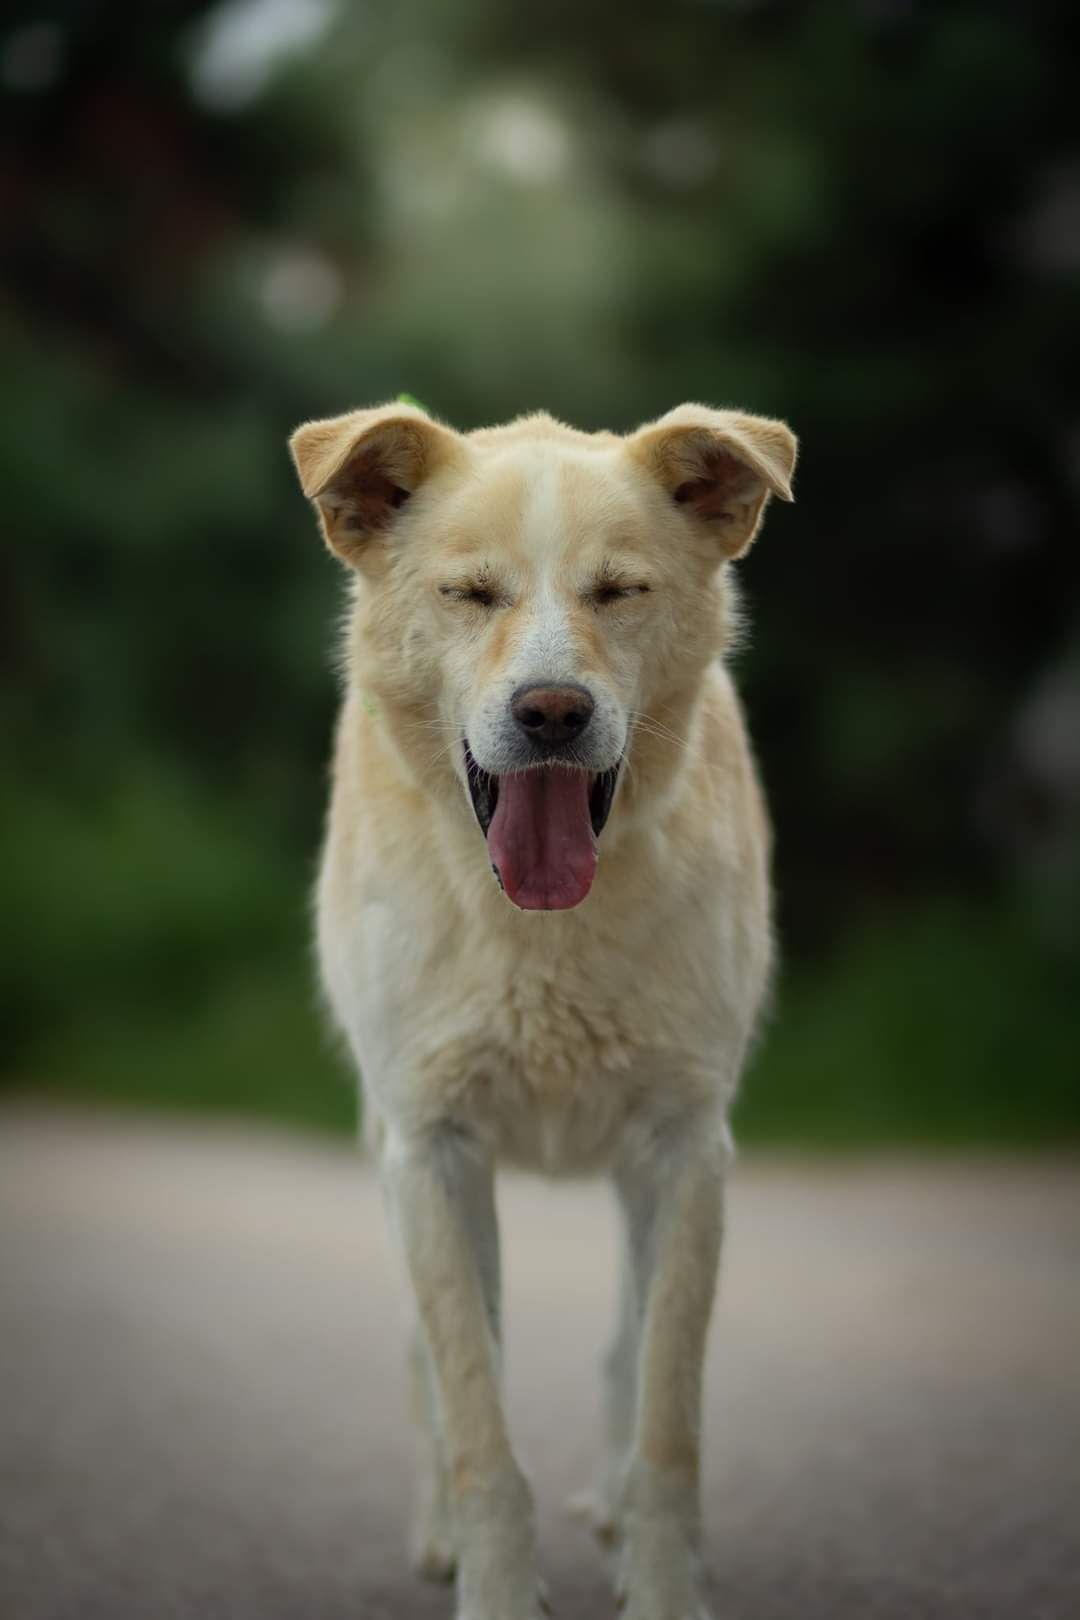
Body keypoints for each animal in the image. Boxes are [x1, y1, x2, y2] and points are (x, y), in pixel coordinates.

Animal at [291, 395, 799, 1620]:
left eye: (619, 590)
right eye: (472, 594)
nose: (553, 712)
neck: (543, 931)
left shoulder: (686, 1148)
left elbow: (667, 1409)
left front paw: (661, 1586)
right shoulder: (431, 1149)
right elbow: (474, 1402)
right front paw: (494, 1585)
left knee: (623, 1350)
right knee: (427, 1362)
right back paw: (439, 1533)